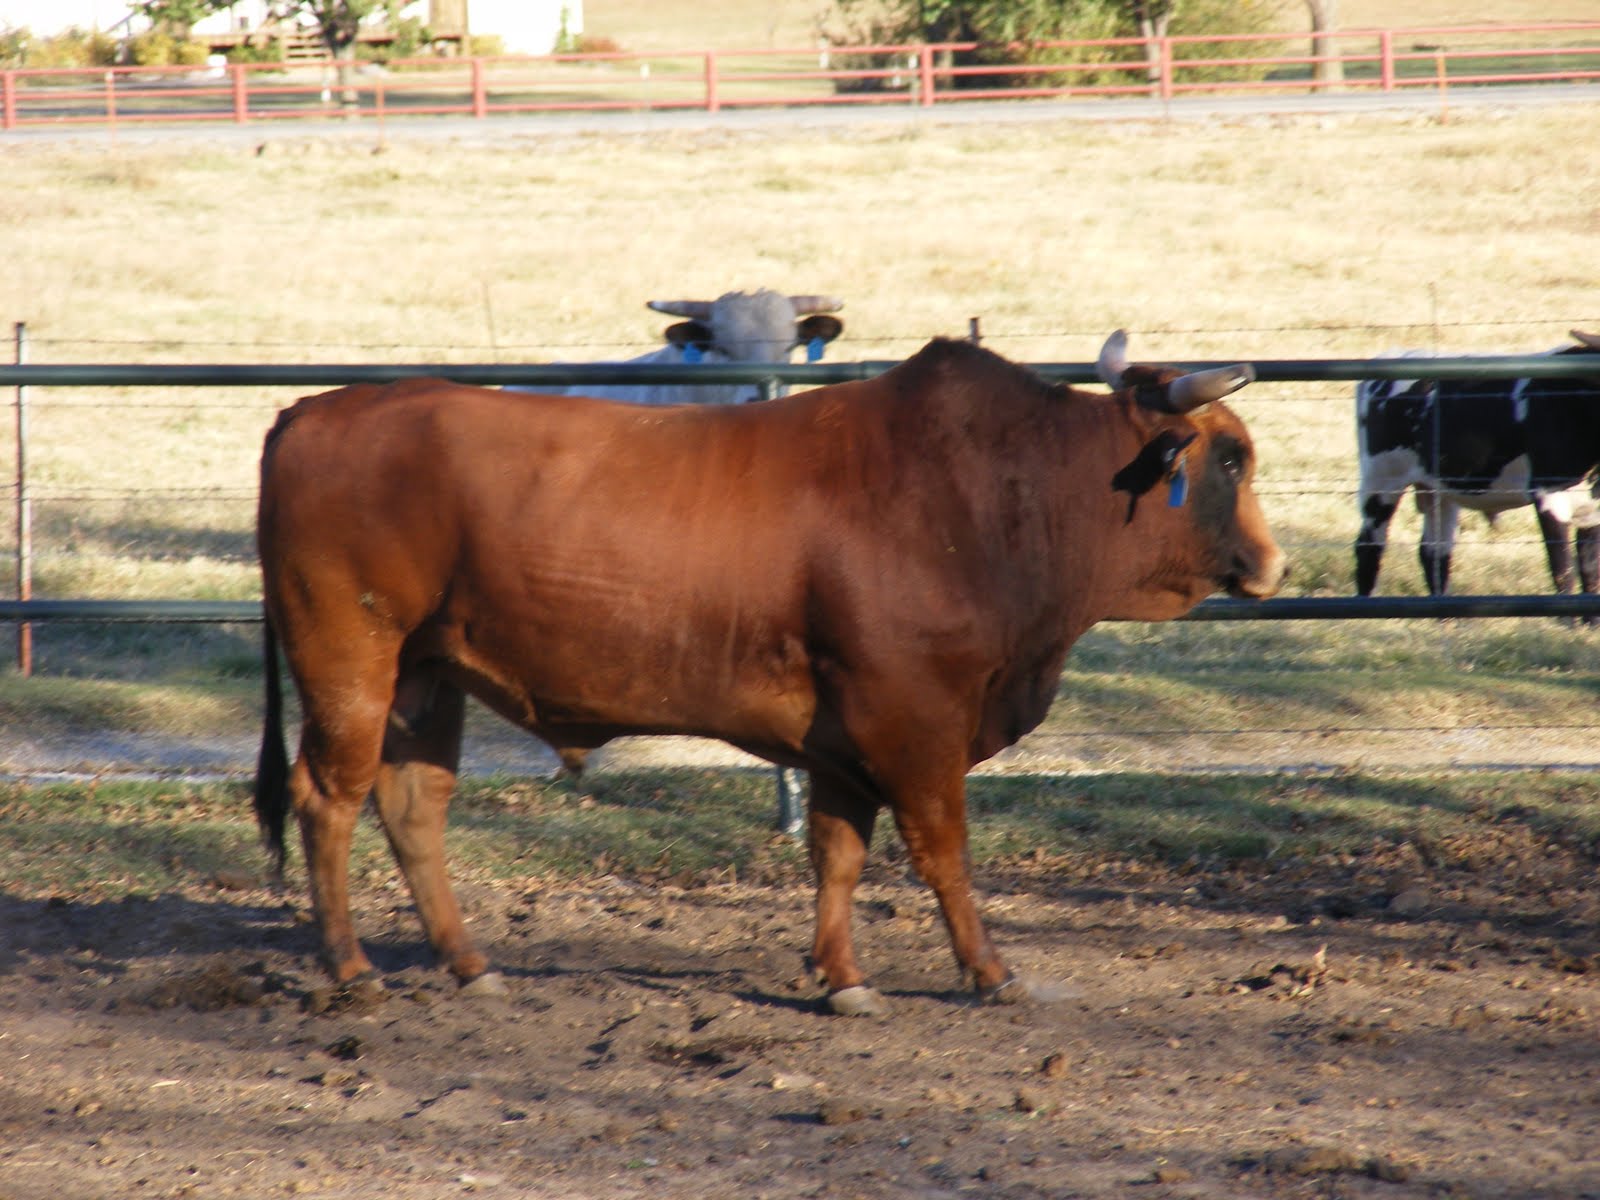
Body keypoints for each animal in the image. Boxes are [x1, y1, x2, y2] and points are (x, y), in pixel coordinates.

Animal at [254, 331, 1286, 1016]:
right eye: (1232, 458)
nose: (1272, 564)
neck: (997, 494)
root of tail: (312, 409)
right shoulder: (913, 718)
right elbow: (942, 850)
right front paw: (988, 970)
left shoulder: (842, 738)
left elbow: (838, 853)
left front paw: (843, 976)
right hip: (350, 660)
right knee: (328, 798)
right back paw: (351, 969)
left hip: (425, 676)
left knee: (411, 807)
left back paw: (469, 963)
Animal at [1355, 331, 1600, 601]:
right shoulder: (1549, 492)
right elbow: (1562, 568)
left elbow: (1590, 567)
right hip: (1381, 481)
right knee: (1368, 548)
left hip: (1438, 488)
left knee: (1434, 552)